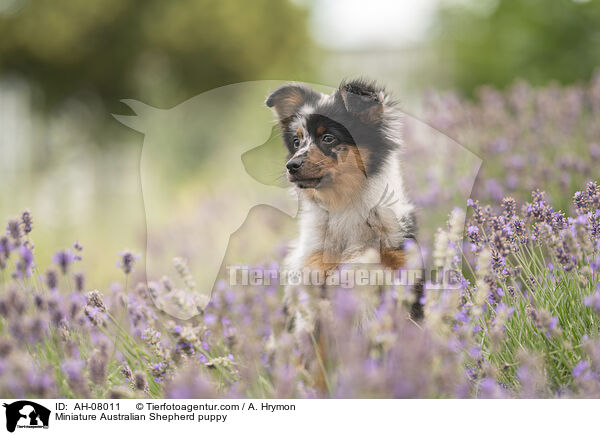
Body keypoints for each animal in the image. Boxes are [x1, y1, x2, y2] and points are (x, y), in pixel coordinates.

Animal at [264, 78, 424, 336]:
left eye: (328, 138)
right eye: (297, 142)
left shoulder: (403, 274)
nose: (291, 165)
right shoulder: (315, 283)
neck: (345, 207)